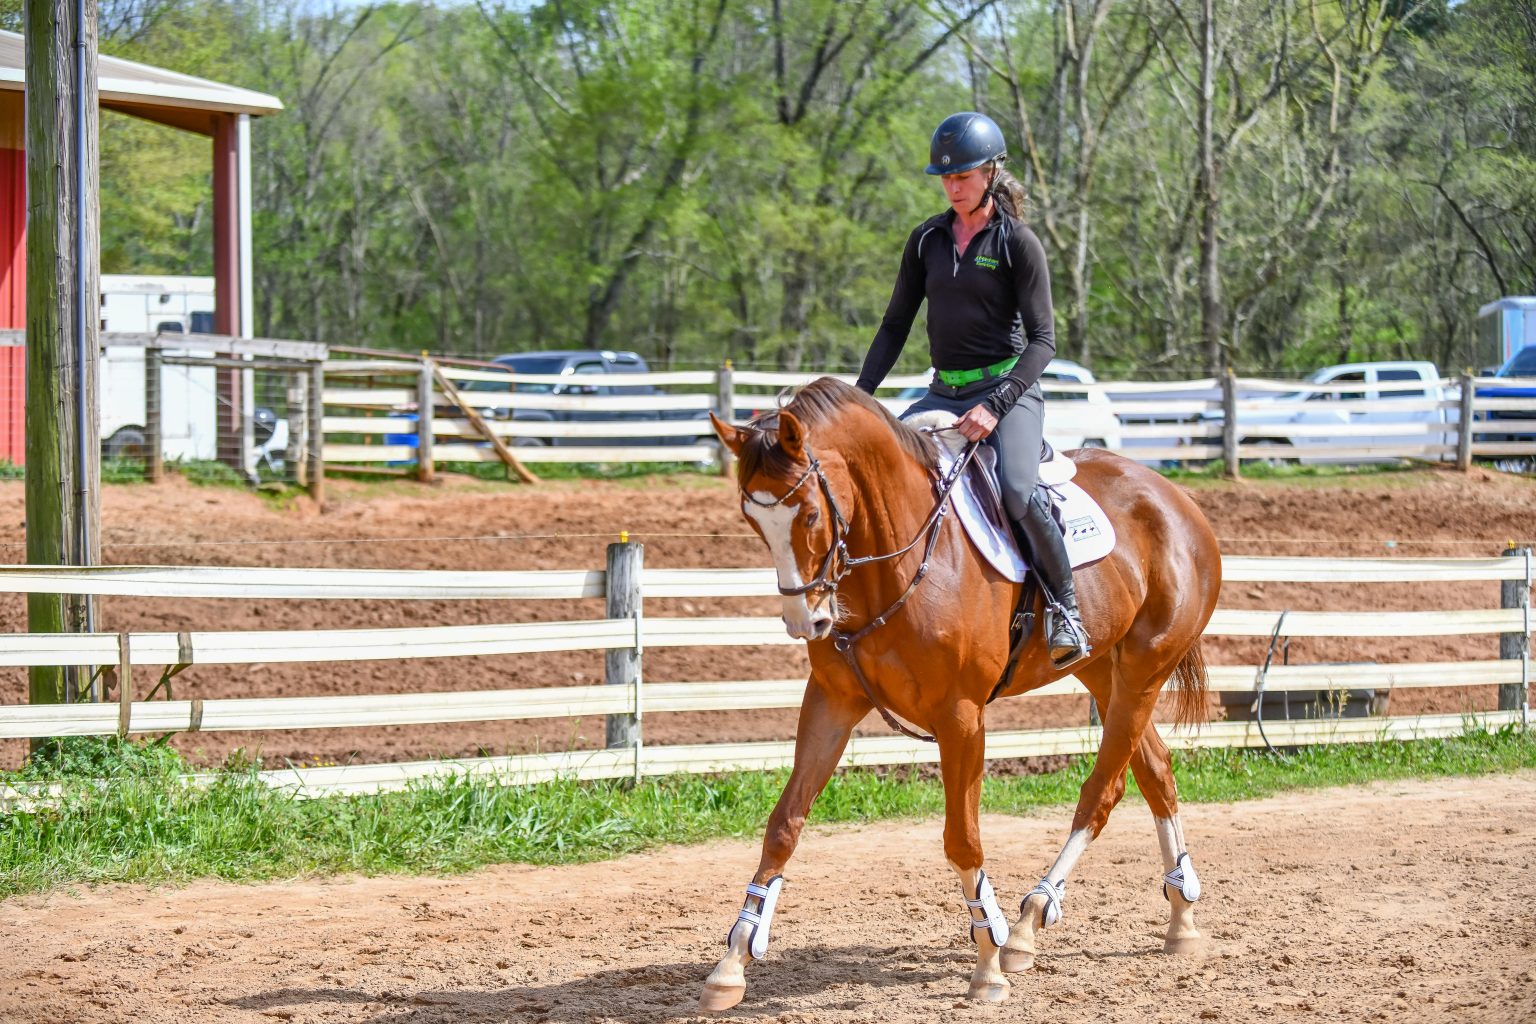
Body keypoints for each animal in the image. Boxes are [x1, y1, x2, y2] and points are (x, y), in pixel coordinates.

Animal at [698, 377, 1222, 1010]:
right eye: (752, 519)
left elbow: (962, 839)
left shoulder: (962, 717)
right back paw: (1178, 918)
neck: (895, 564)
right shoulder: (831, 702)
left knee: (1102, 789)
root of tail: (1174, 497)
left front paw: (988, 960)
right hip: (1105, 672)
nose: (809, 622)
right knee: (1154, 772)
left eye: (811, 513)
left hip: (1146, 669)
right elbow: (784, 825)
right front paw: (731, 963)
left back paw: (1028, 922)